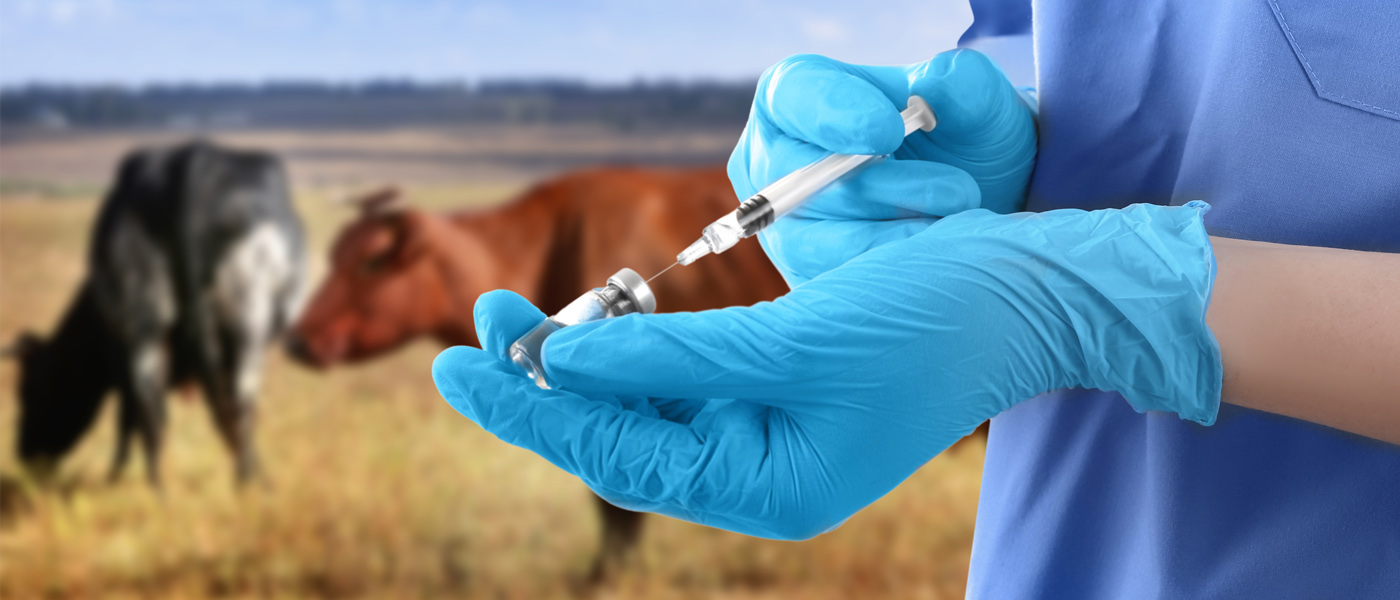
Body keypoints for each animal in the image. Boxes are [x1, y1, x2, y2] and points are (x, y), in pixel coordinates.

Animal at [9, 141, 306, 486]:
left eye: (31, 390)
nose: (23, 454)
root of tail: (193, 160)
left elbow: (128, 420)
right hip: (242, 327)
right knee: (229, 407)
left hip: (150, 326)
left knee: (163, 411)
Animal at [287, 165, 789, 576]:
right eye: (333, 255)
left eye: (371, 262)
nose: (295, 340)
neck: (544, 249)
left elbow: (617, 508)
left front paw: (606, 576)